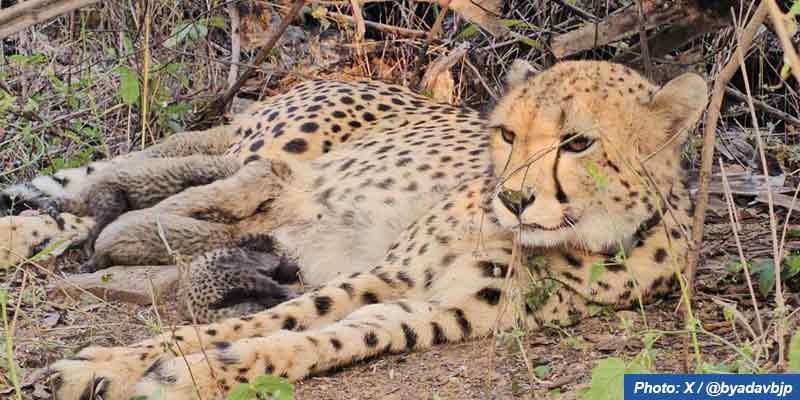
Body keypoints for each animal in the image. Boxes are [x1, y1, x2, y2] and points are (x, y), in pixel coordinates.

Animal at [39, 59, 707, 400]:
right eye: (508, 133)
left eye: (578, 142)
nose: (513, 198)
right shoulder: (388, 273)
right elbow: (262, 319)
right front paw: (112, 363)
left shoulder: (441, 311)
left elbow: (324, 338)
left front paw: (194, 372)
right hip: (279, 145)